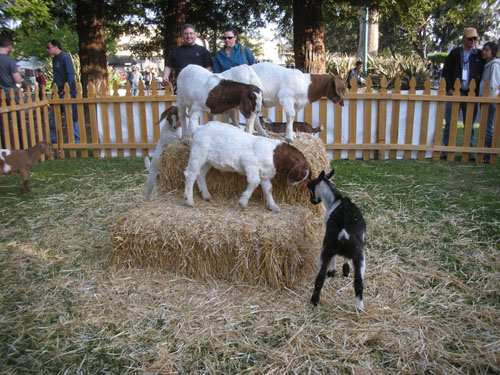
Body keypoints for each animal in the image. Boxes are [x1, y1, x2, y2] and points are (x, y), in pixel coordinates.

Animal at [182, 122, 310, 213]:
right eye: (298, 176)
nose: (292, 186)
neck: (275, 154)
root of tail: (198, 128)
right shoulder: (249, 163)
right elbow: (254, 182)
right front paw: (243, 202)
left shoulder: (265, 174)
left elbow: (268, 189)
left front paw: (273, 206)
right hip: (198, 153)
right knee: (190, 174)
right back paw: (189, 200)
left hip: (208, 160)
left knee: (200, 174)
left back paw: (206, 195)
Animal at [306, 169, 366, 310]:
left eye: (311, 187)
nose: (312, 201)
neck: (335, 200)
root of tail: (343, 233)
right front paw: (343, 271)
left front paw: (336, 271)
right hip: (359, 257)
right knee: (359, 282)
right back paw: (359, 309)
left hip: (327, 250)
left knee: (320, 278)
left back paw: (314, 301)